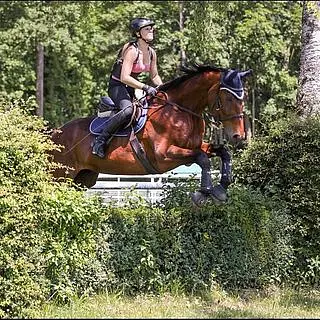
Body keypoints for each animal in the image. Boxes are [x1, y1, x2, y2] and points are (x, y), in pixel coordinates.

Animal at [50, 63, 252, 206]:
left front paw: (221, 188)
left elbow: (222, 152)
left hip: (83, 178)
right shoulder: (162, 157)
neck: (180, 111)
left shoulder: (194, 146)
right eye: (228, 98)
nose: (238, 136)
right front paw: (203, 193)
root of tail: (53, 134)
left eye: (243, 98)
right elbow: (202, 158)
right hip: (59, 177)